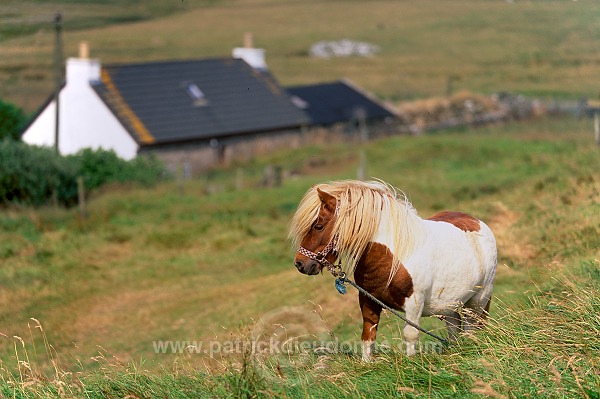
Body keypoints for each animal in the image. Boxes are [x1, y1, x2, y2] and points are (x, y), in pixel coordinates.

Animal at [290, 180, 496, 360]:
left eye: (318, 226)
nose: (300, 264)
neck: (393, 255)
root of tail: (479, 222)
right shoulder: (368, 300)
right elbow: (368, 336)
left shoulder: (414, 303)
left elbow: (410, 334)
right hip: (448, 304)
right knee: (454, 327)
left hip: (478, 300)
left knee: (472, 327)